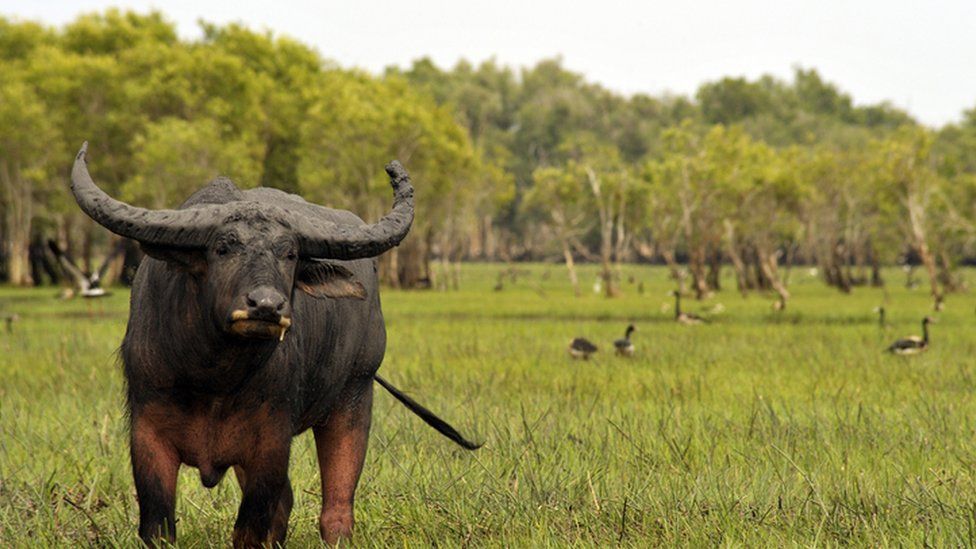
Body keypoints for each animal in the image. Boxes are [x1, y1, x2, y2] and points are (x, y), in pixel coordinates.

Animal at [69, 143, 480, 544]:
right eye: (223, 247)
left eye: (290, 253)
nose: (266, 305)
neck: (213, 377)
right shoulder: (148, 435)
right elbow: (158, 526)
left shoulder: (270, 443)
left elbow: (252, 527)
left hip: (355, 394)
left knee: (336, 508)